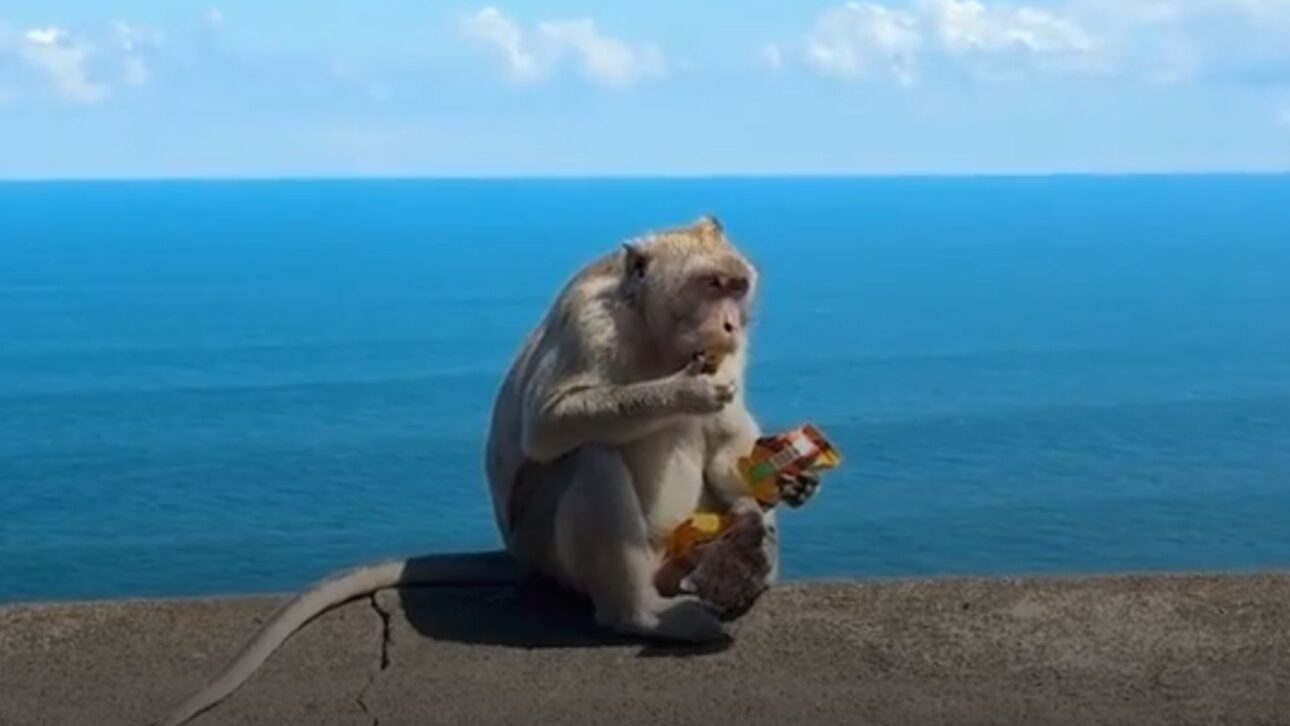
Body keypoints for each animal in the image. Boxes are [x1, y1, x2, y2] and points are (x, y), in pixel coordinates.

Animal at [154, 215, 819, 726]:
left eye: (736, 287)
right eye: (710, 285)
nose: (731, 323)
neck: (651, 330)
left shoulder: (729, 357)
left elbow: (728, 444)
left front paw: (774, 492)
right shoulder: (592, 323)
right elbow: (551, 424)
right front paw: (684, 392)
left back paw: (736, 551)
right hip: (549, 550)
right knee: (593, 462)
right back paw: (642, 615)